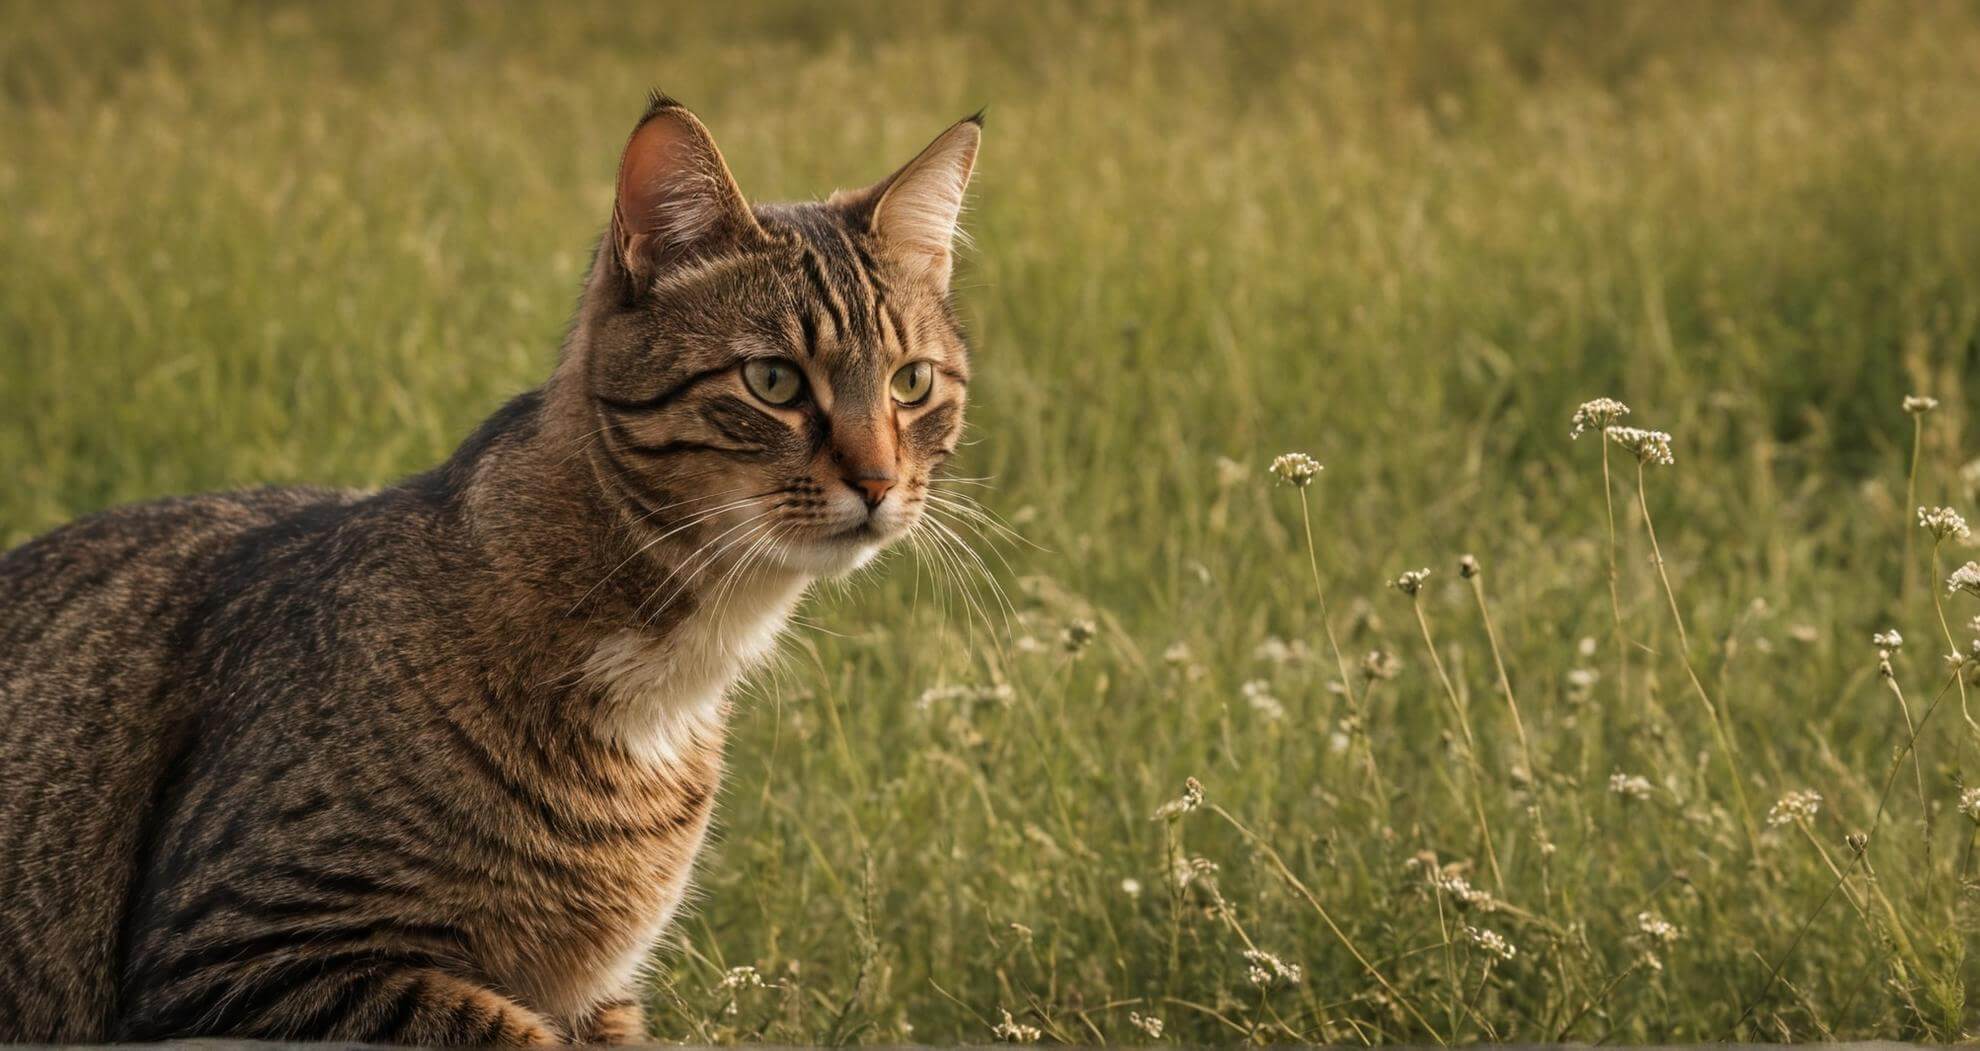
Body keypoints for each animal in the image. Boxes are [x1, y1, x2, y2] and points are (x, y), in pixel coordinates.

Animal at [0, 96, 982, 1045]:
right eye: (773, 380)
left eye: (911, 382)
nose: (879, 481)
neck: (672, 676)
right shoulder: (237, 948)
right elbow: (505, 1029)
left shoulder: (600, 989)